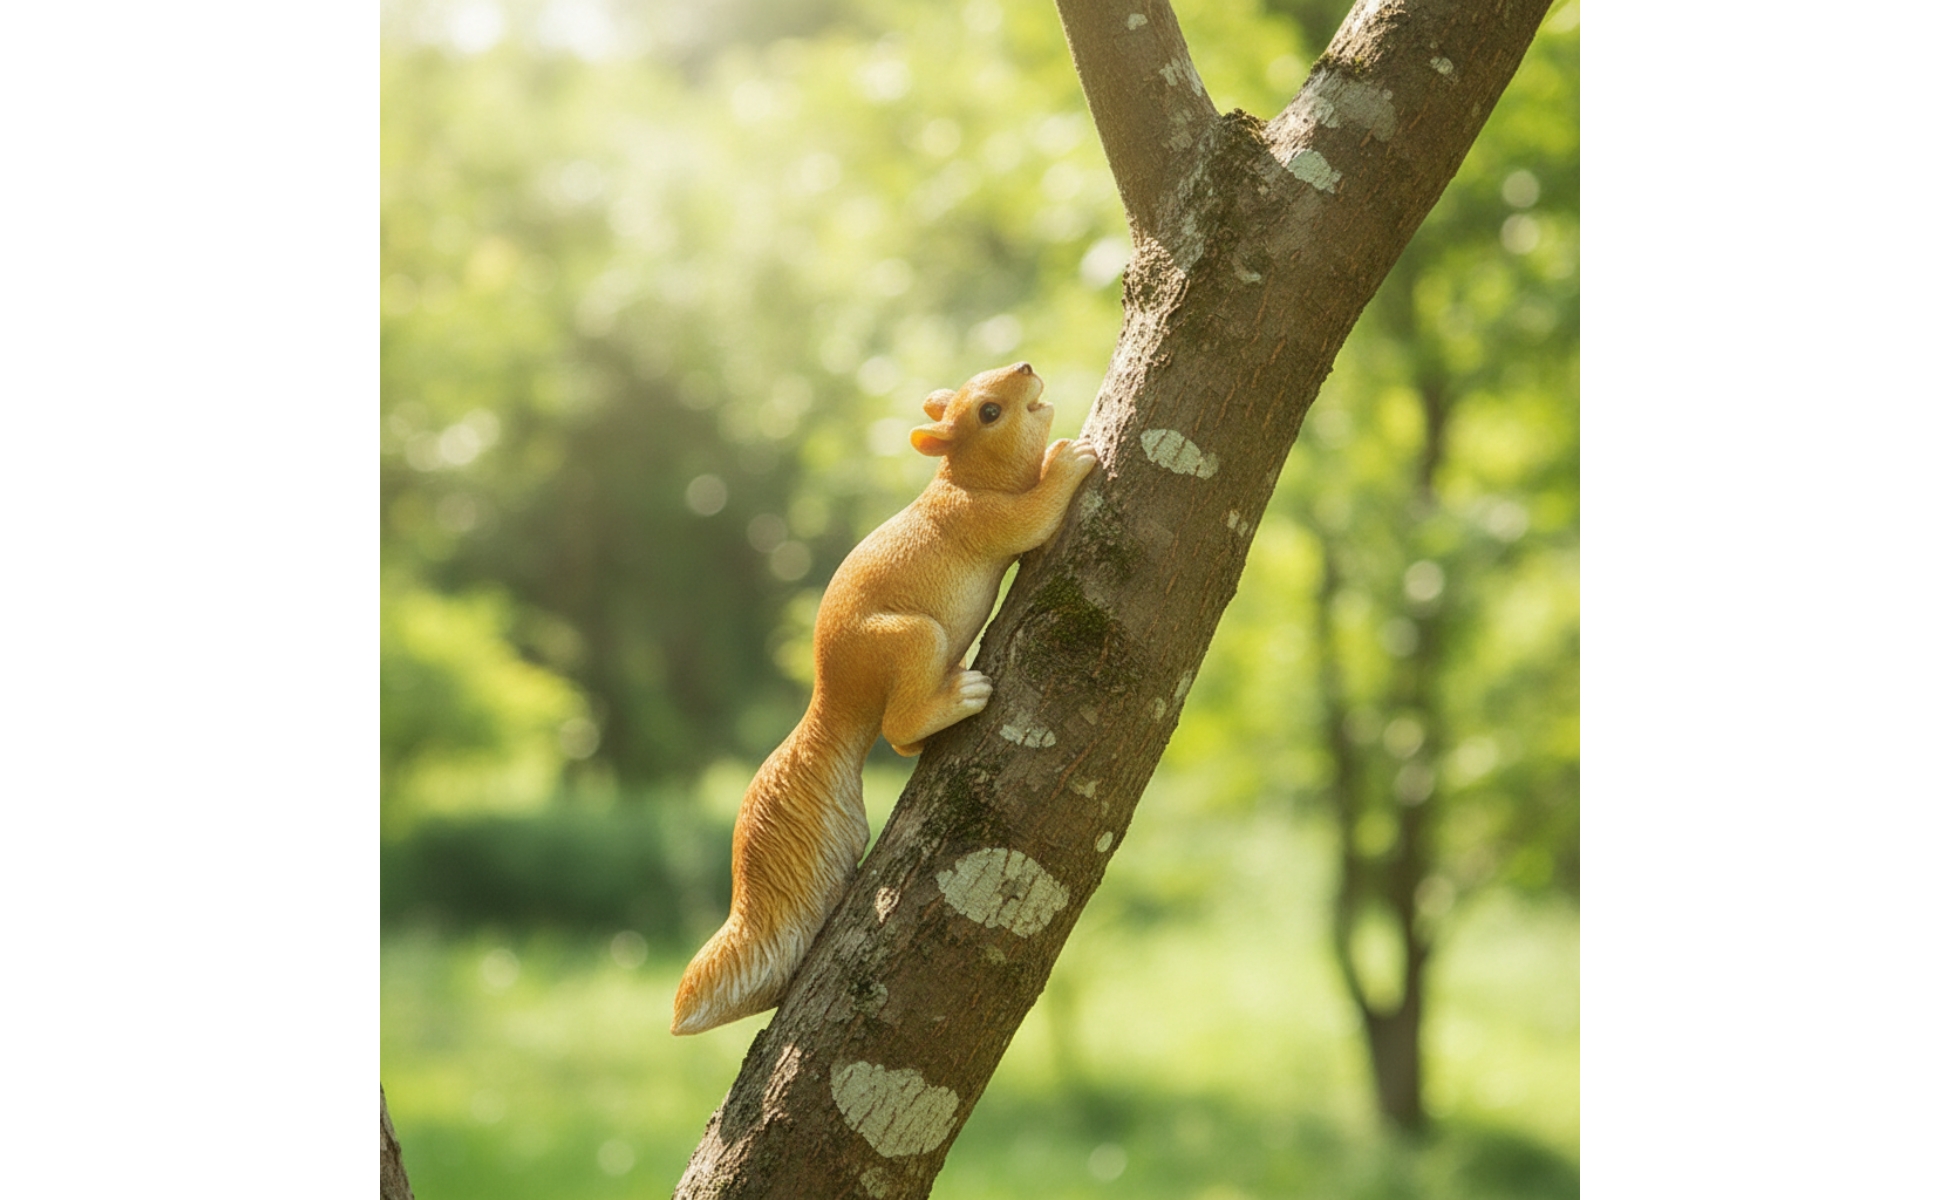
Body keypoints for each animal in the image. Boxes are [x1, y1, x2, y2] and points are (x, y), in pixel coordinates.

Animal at [671, 361, 1098, 1035]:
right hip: (913, 637)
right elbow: (1035, 517)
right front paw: (1069, 456)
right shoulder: (981, 518)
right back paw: (958, 697)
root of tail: (836, 699)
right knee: (897, 729)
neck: (958, 478)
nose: (1026, 367)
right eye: (988, 412)